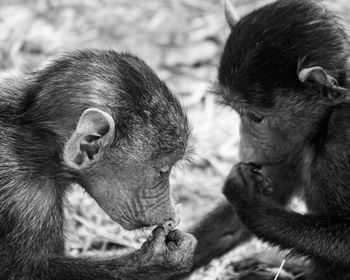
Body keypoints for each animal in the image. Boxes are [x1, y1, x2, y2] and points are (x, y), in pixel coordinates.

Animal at [172, 0, 350, 278]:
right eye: (237, 112)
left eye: (256, 118)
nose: (244, 150)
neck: (324, 124)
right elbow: (231, 227)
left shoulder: (342, 138)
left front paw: (251, 205)